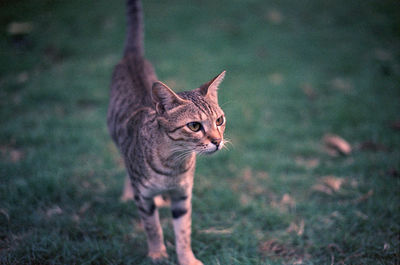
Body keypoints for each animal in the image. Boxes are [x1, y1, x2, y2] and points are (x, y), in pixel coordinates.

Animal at [107, 0, 225, 264]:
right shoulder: (144, 198)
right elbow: (152, 226)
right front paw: (157, 253)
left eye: (219, 120)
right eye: (194, 126)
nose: (218, 141)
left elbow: (183, 232)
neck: (174, 165)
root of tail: (133, 56)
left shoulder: (183, 196)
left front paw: (187, 258)